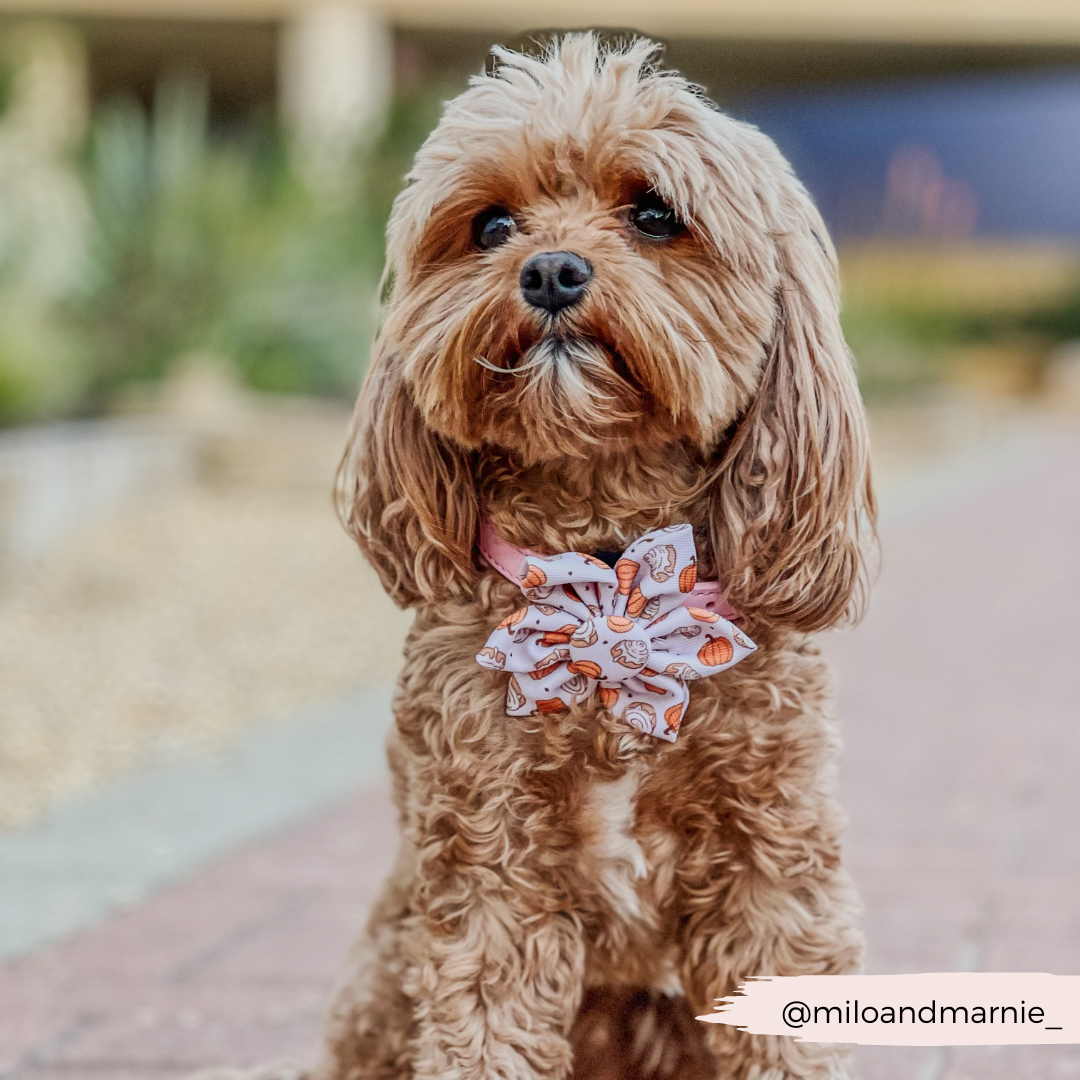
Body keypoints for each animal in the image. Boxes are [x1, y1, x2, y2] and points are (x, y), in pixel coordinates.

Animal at [196, 29, 876, 1080]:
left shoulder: (772, 858)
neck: (606, 577)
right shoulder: (488, 869)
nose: (551, 270)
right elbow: (484, 1026)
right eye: (490, 225)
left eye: (654, 213)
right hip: (382, 976)